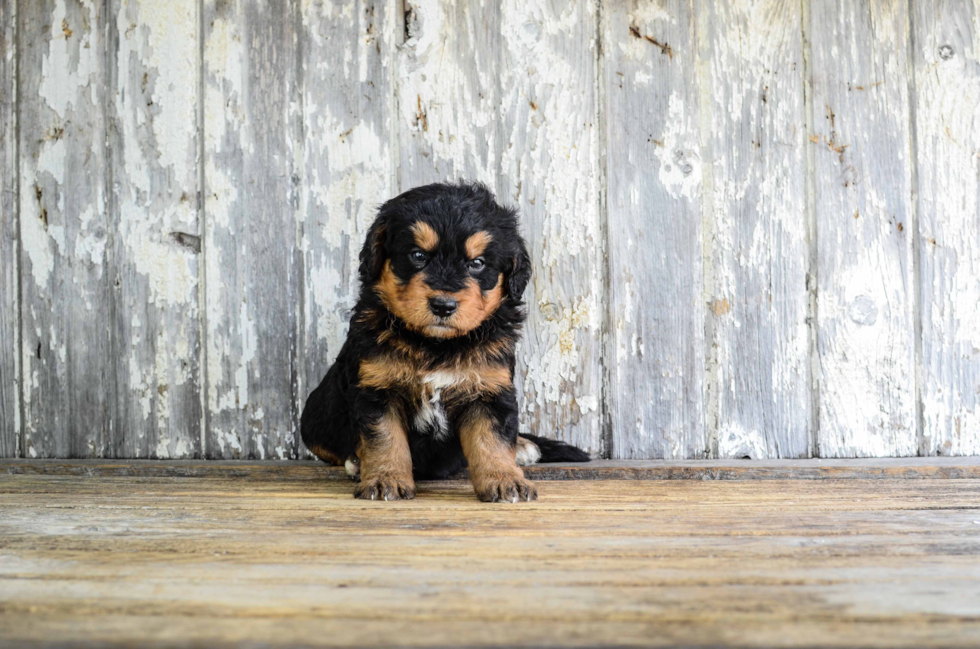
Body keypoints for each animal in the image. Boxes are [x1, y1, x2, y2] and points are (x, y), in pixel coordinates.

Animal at [298, 181, 588, 502]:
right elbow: (385, 439)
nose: (443, 306)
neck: (436, 345)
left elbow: (493, 440)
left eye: (477, 263)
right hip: (314, 417)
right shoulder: (376, 389)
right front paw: (385, 479)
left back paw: (523, 446)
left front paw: (505, 480)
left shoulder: (489, 389)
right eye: (417, 255)